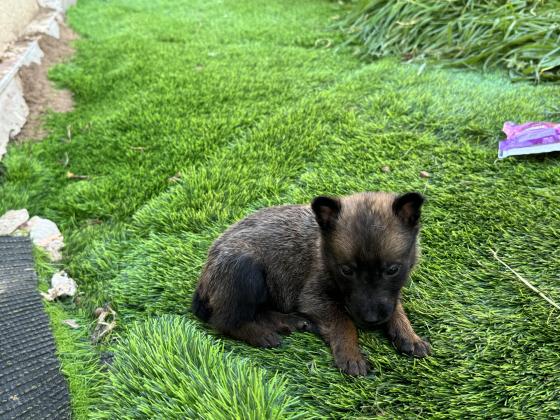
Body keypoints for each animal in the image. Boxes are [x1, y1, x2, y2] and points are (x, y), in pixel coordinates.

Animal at [190, 192, 430, 376]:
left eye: (392, 270)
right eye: (346, 270)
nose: (370, 320)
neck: (323, 250)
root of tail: (203, 283)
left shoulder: (389, 295)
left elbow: (395, 308)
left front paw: (409, 335)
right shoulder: (315, 297)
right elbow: (344, 322)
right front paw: (351, 354)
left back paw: (289, 322)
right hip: (246, 269)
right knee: (224, 320)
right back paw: (261, 335)